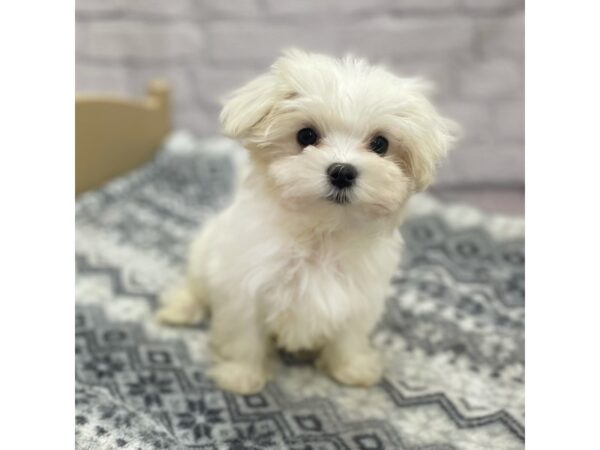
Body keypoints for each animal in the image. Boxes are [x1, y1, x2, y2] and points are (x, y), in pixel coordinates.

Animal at [155, 50, 454, 394]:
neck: (320, 233)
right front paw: (241, 376)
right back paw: (179, 310)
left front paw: (351, 368)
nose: (342, 171)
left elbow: (349, 335)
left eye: (380, 144)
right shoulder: (243, 286)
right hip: (204, 253)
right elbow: (244, 334)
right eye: (306, 135)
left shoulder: (360, 295)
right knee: (194, 287)